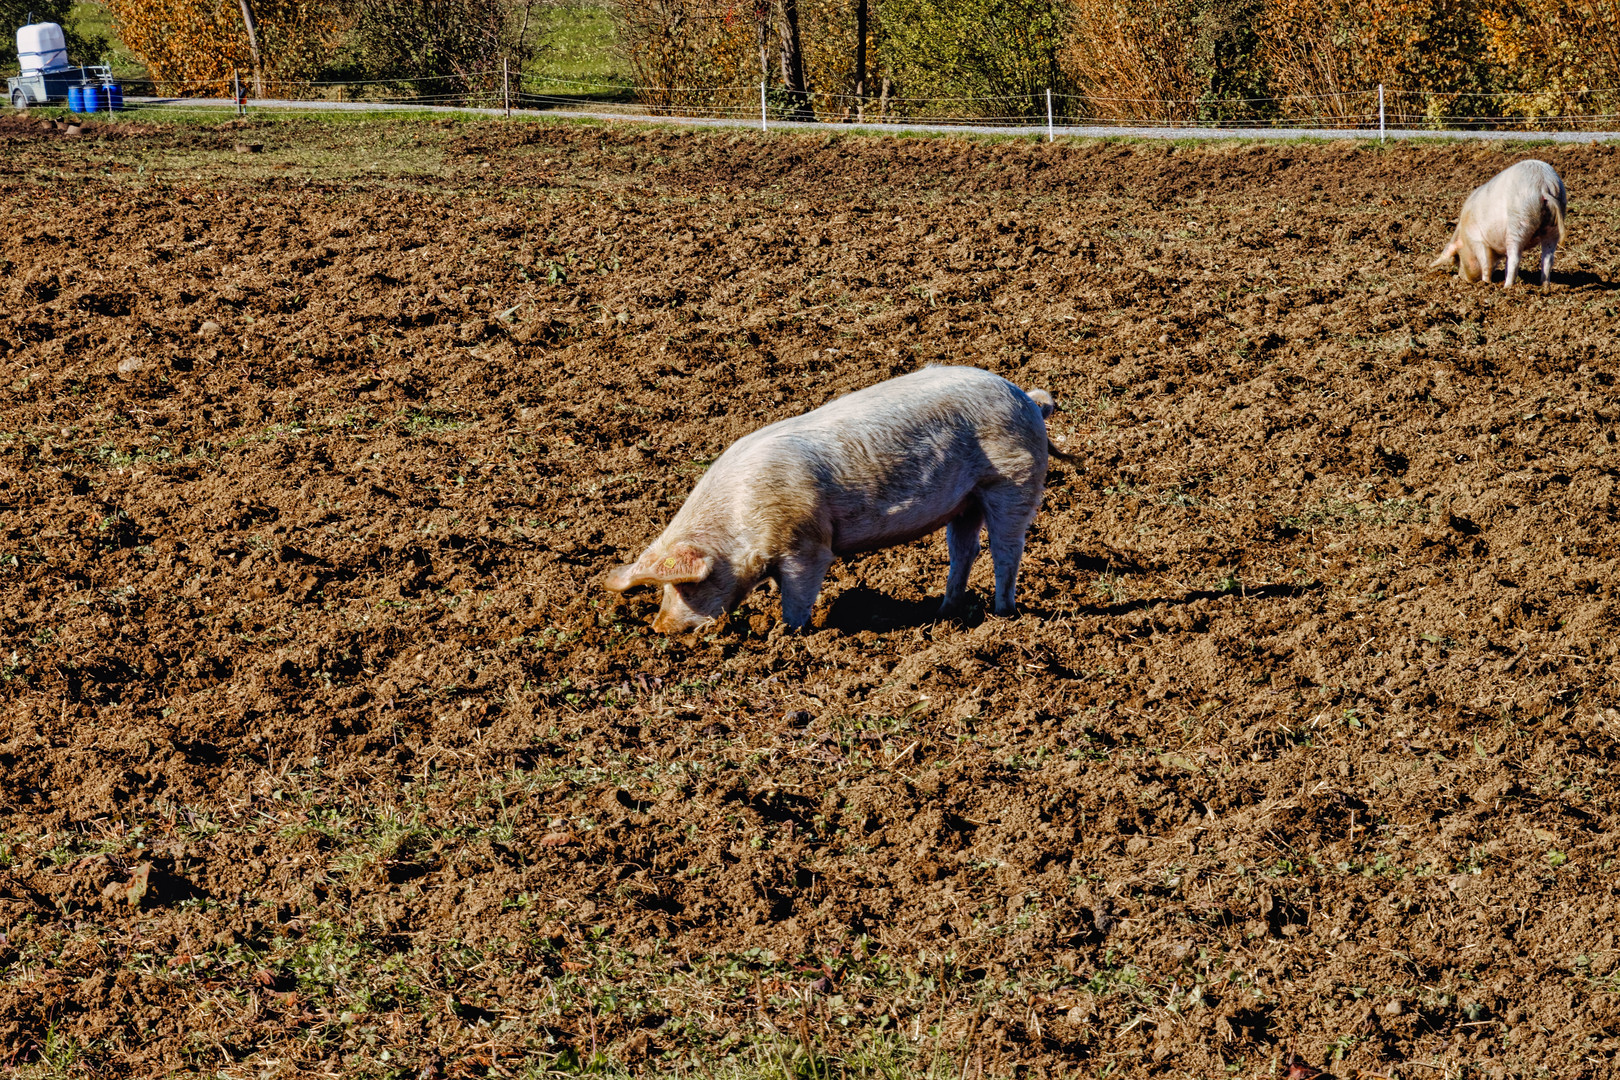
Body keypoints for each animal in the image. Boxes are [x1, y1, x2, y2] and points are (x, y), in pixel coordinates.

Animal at [605, 365, 1062, 634]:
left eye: (687, 585)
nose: (659, 628)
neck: (738, 522)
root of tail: (1029, 400)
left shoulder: (805, 543)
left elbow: (798, 594)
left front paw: (788, 636)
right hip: (965, 502)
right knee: (964, 550)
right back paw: (943, 614)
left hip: (1013, 481)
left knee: (1007, 549)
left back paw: (1003, 614)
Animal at [1432, 158, 1568, 289]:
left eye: (1458, 258)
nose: (1463, 278)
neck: (1464, 236)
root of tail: (1543, 184)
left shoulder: (1477, 240)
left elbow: (1486, 264)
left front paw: (1486, 283)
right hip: (1554, 223)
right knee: (1548, 259)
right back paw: (1545, 287)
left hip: (1519, 221)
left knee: (1515, 258)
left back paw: (1506, 287)